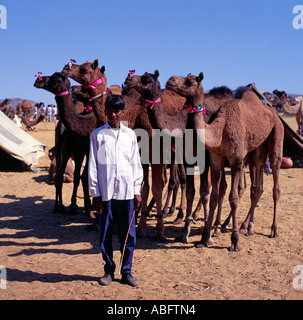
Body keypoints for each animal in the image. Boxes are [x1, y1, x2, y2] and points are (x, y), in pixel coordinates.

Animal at [166, 74, 284, 251]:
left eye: (190, 81)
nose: (170, 80)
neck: (219, 129)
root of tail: (273, 112)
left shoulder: (236, 159)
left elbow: (233, 198)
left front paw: (234, 241)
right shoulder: (215, 157)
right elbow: (214, 195)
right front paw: (204, 238)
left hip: (276, 136)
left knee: (275, 185)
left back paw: (273, 230)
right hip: (258, 151)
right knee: (257, 187)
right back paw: (247, 227)